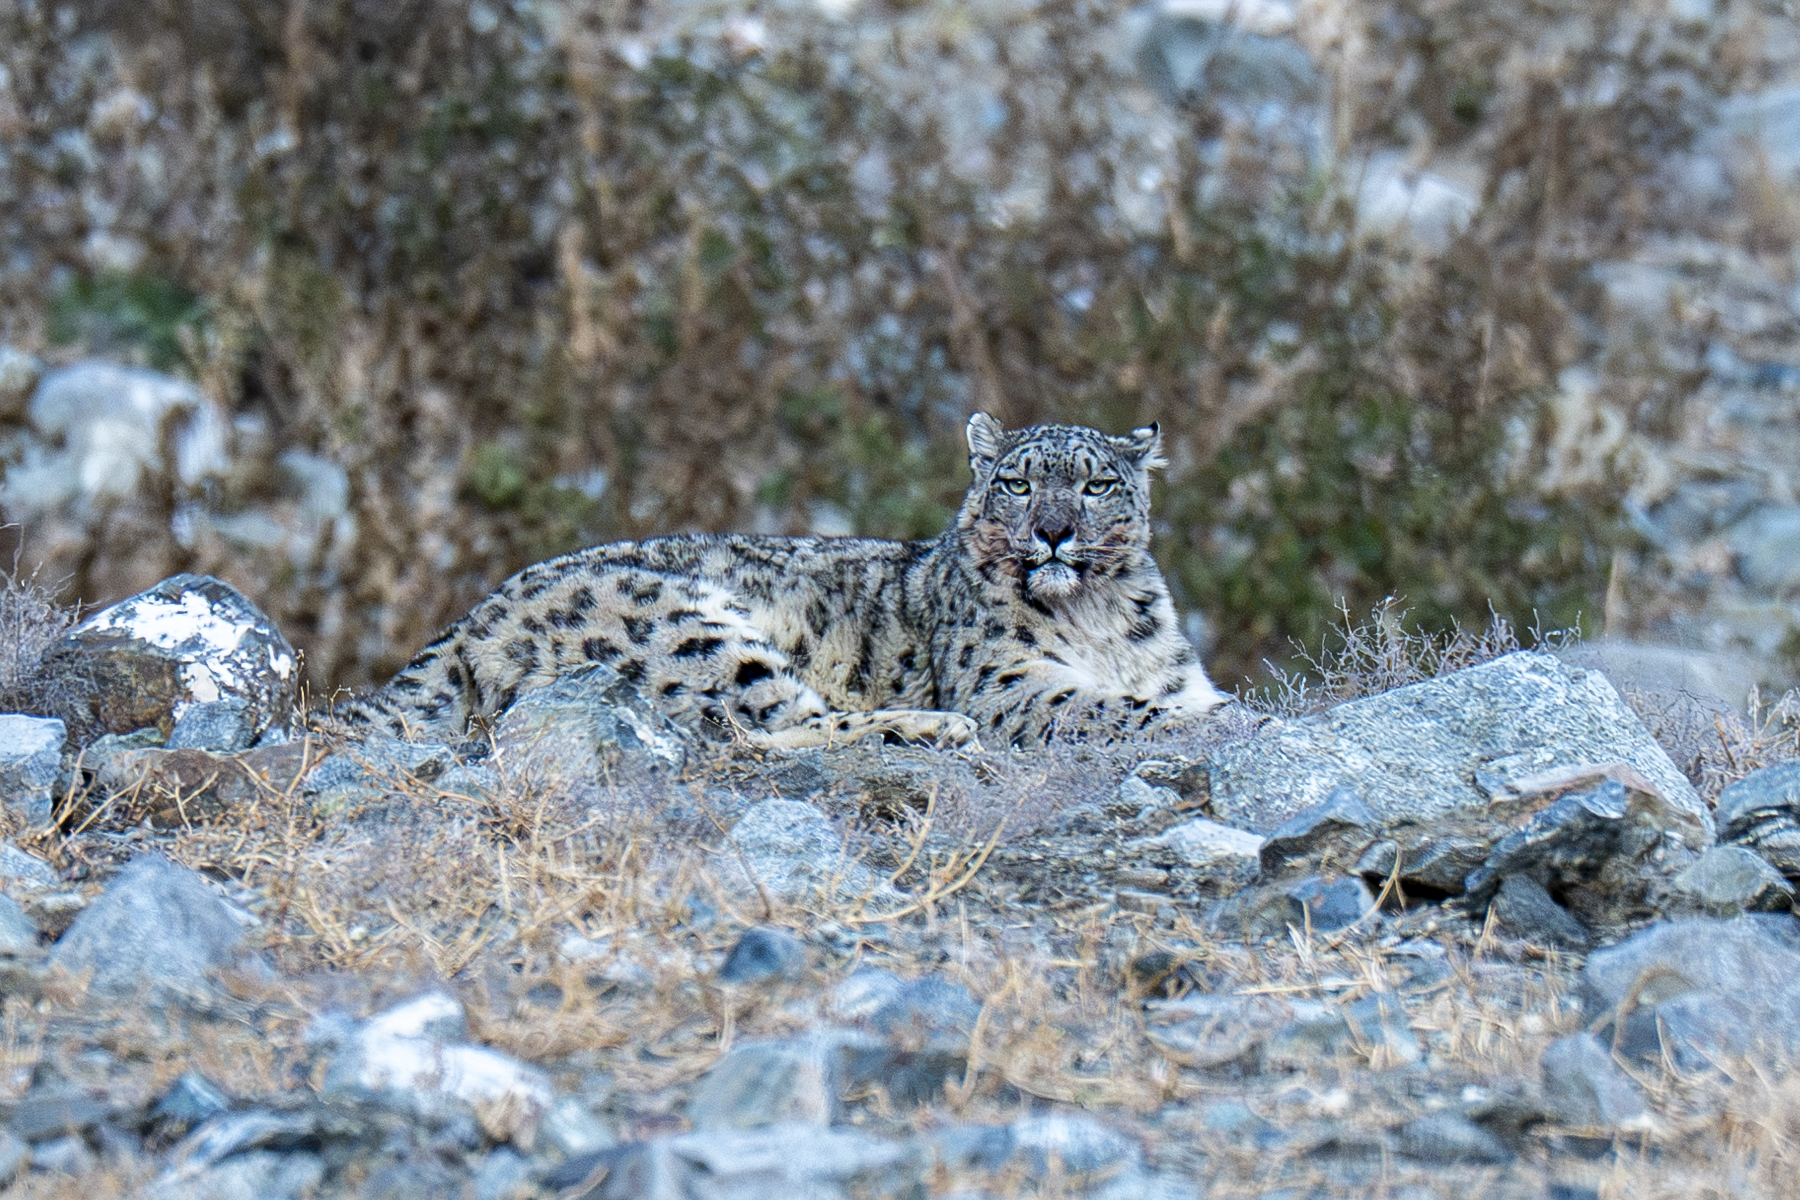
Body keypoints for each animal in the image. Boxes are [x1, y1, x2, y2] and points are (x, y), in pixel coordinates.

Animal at [339, 413, 1226, 749]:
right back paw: (930, 728)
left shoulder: (1175, 673)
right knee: (767, 725)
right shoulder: (1007, 682)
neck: (1098, 620)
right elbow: (1099, 705)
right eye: (1015, 482)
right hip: (692, 632)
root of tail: (471, 617)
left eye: (1096, 484)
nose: (1053, 532)